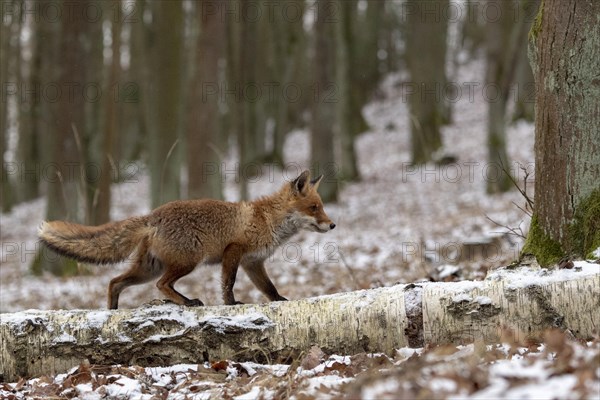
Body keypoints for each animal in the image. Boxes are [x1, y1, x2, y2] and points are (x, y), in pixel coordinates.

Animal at [39, 170, 336, 308]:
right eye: (314, 208)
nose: (332, 224)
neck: (266, 219)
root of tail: (153, 215)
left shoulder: (253, 263)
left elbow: (269, 288)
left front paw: (280, 301)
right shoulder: (234, 251)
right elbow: (228, 284)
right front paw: (231, 304)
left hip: (148, 269)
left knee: (115, 282)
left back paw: (112, 311)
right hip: (187, 262)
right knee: (161, 284)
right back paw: (186, 301)